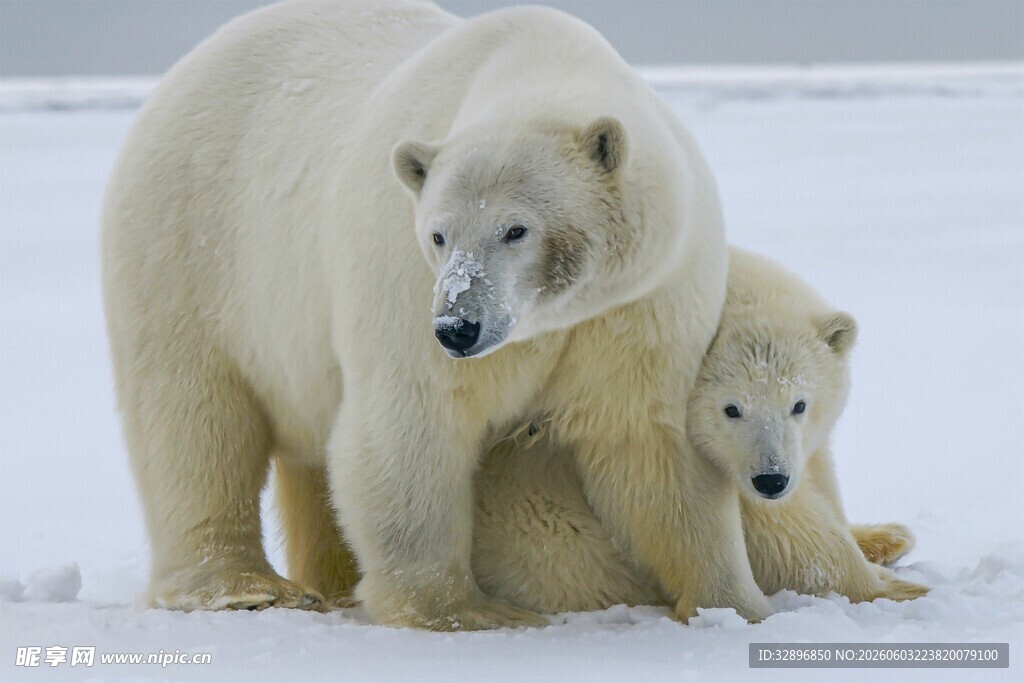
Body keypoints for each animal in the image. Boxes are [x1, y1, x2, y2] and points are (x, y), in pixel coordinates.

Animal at [101, 0, 771, 630]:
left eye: (516, 229)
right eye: (438, 234)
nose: (458, 326)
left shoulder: (641, 301)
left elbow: (650, 442)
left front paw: (733, 604)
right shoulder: (402, 282)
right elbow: (414, 423)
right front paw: (468, 612)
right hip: (189, 243)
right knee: (193, 417)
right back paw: (245, 588)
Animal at [468, 247, 929, 612]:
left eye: (799, 404)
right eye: (731, 409)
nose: (772, 479)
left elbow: (818, 476)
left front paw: (885, 538)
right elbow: (778, 531)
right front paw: (898, 588)